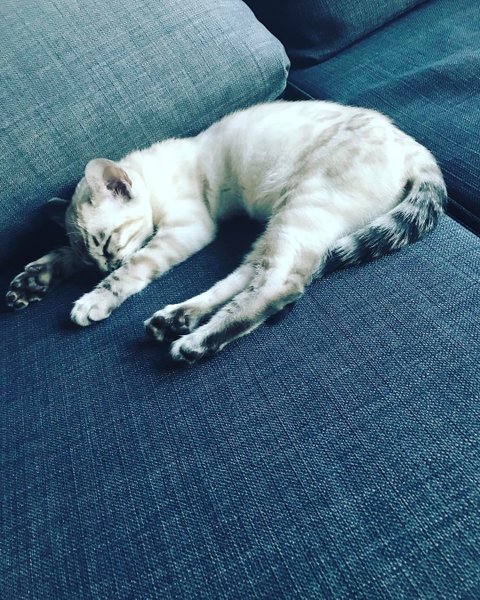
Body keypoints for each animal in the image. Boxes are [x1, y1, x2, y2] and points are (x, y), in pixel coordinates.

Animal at [6, 100, 446, 363]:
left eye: (108, 241)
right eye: (92, 253)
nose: (102, 265)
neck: (154, 175)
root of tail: (414, 147)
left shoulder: (187, 229)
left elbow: (132, 269)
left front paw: (94, 298)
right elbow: (60, 253)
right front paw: (33, 280)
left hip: (301, 209)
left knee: (279, 286)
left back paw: (194, 342)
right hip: (281, 226)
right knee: (250, 277)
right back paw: (175, 319)